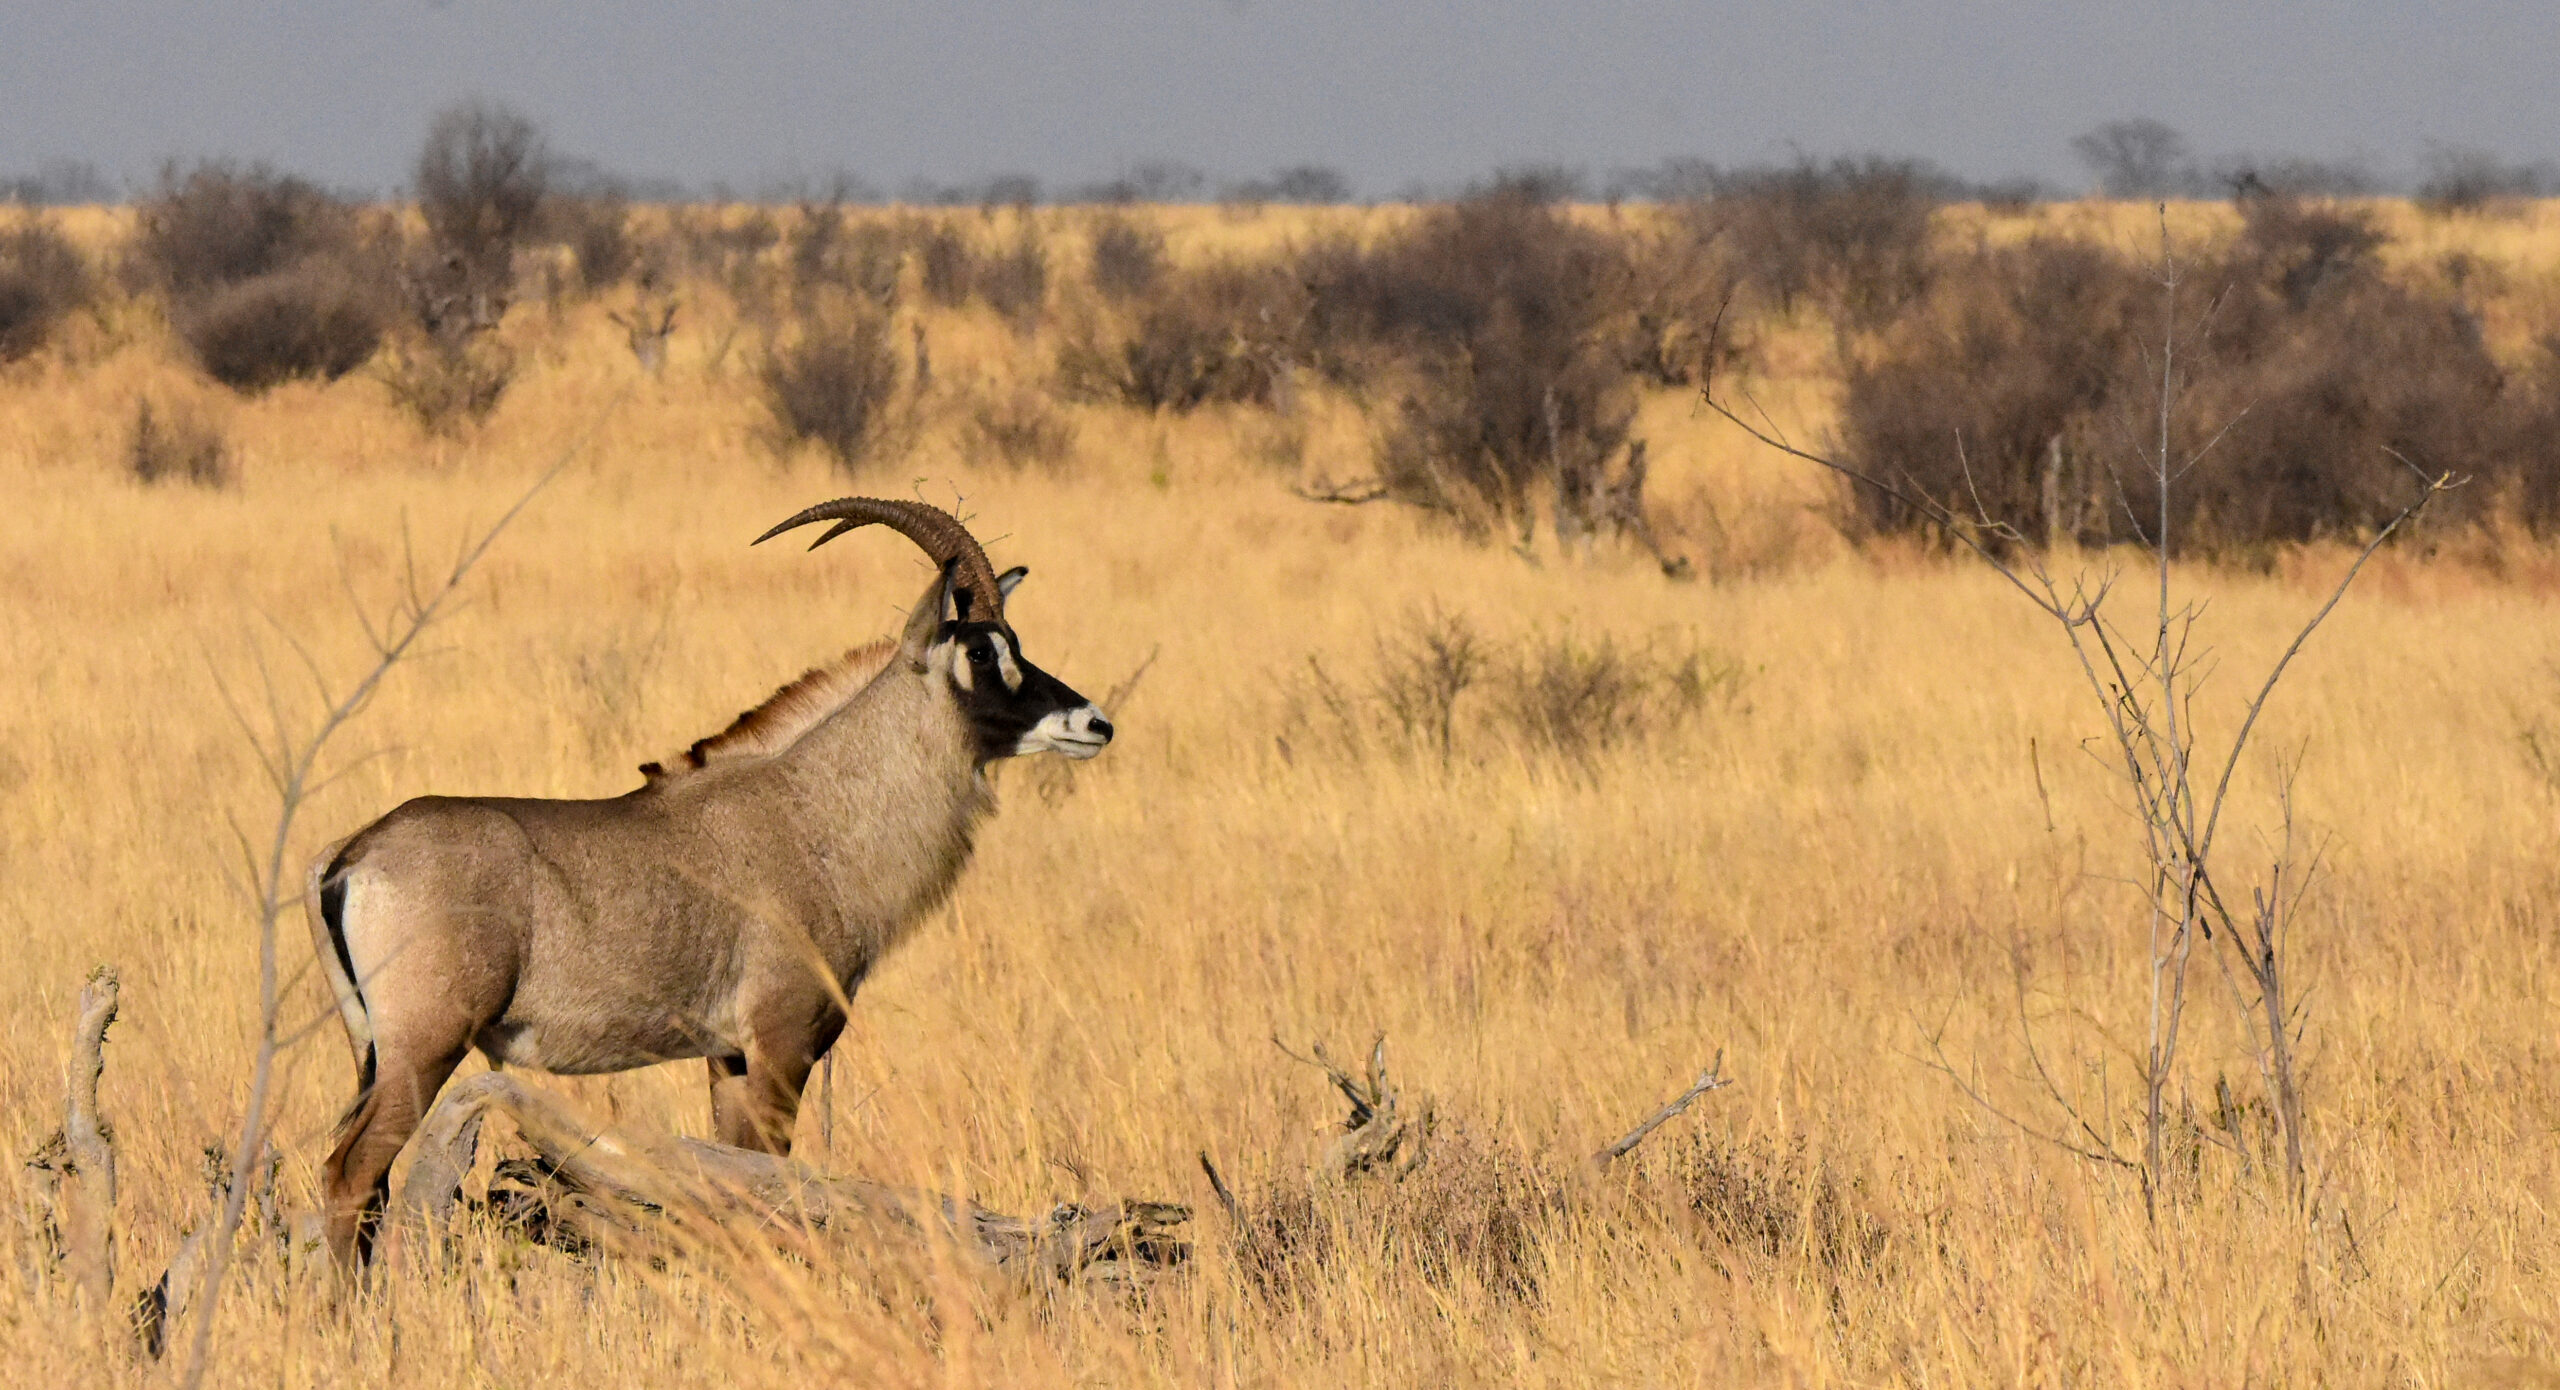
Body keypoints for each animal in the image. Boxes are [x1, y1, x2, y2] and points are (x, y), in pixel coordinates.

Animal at [304, 499, 1112, 1268]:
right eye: (980, 650)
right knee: (352, 1171)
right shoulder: (784, 1041)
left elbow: (732, 1177)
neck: (814, 810)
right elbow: (770, 1180)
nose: (1095, 723)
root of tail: (351, 857)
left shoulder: (727, 1057)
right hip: (425, 1047)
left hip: (373, 1052)